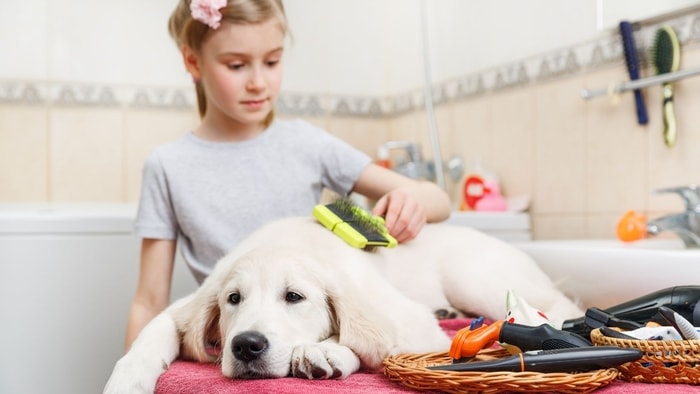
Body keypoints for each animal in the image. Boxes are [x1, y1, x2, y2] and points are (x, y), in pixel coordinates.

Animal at [102, 217, 580, 392]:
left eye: (294, 297)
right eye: (233, 299)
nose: (246, 346)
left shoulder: (410, 323)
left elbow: (369, 336)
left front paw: (324, 352)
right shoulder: (184, 305)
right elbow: (155, 329)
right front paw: (127, 379)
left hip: (475, 277)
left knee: (553, 304)